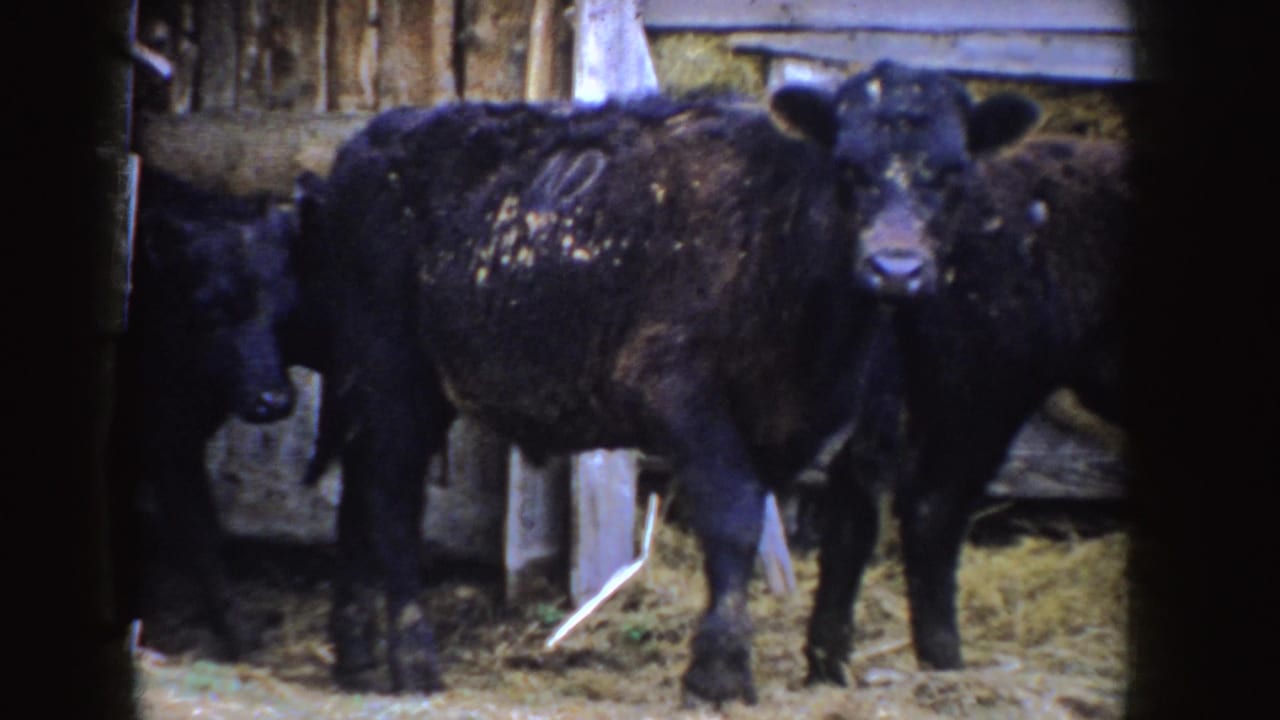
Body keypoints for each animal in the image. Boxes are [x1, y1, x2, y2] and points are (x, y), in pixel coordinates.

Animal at [109, 168, 305, 659]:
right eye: (211, 306)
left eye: (286, 307)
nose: (272, 400)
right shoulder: (165, 443)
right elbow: (200, 531)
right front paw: (239, 635)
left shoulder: (176, 438)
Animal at [291, 60, 1039, 705]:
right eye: (848, 169)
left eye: (952, 172)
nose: (896, 269)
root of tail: (363, 146)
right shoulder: (676, 389)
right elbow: (734, 520)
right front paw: (718, 672)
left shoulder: (787, 425)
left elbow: (757, 524)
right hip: (392, 371)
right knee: (391, 499)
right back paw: (413, 658)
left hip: (380, 386)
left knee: (357, 495)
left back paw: (358, 659)